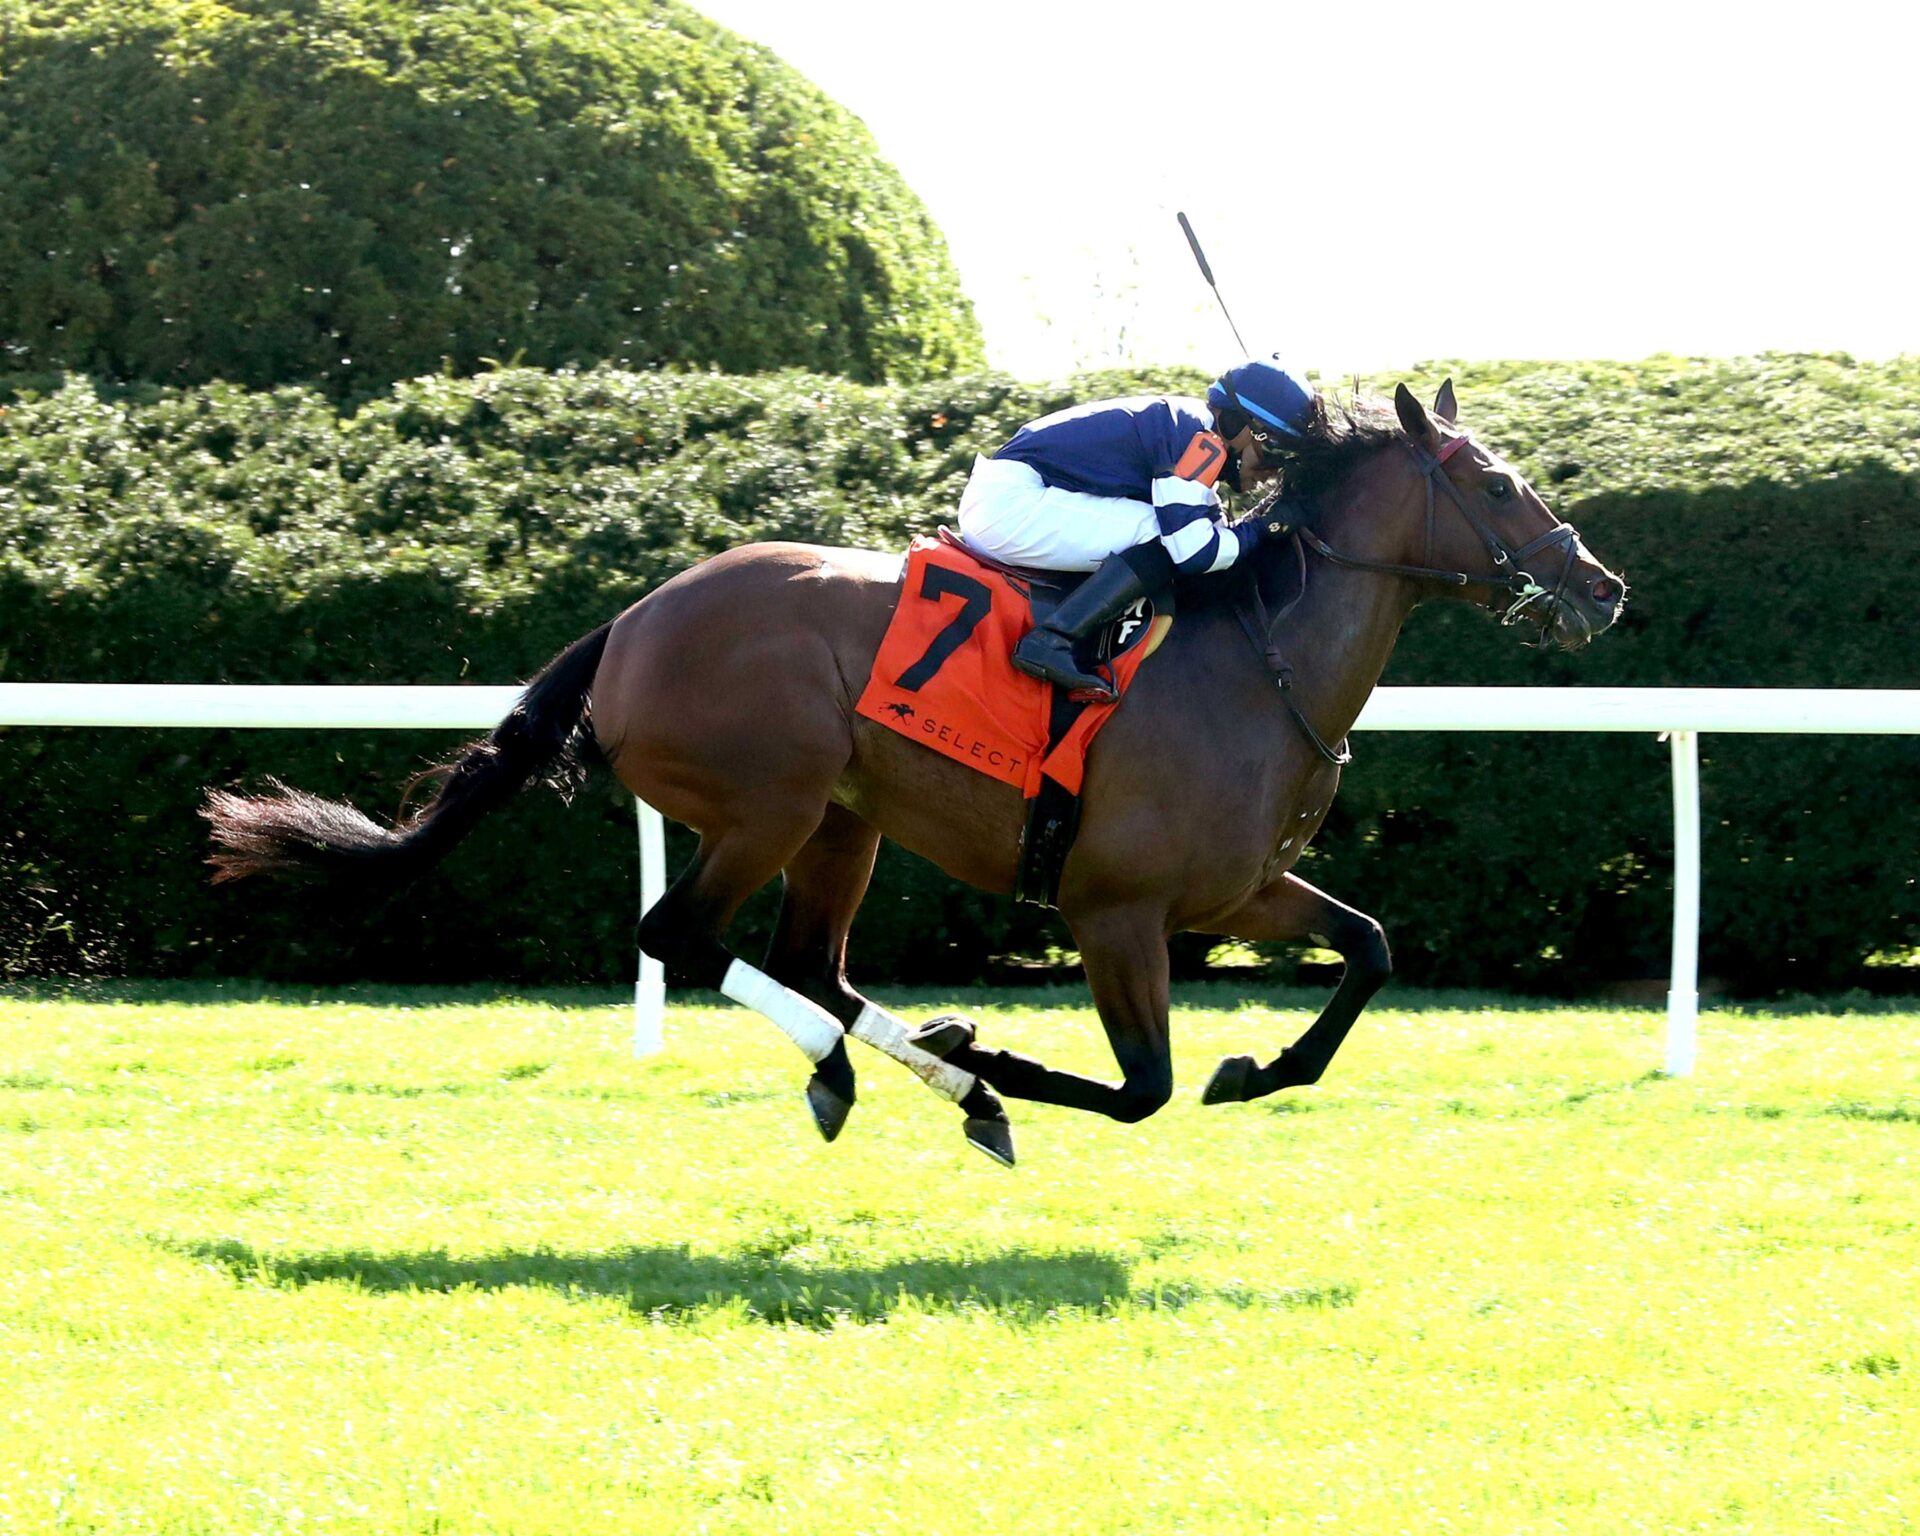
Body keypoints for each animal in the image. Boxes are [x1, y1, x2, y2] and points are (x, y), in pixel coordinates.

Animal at [205, 381, 1626, 1166]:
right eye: (1498, 483)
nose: (1602, 588)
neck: (1256, 656)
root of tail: (635, 620)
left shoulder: (1236, 893)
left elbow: (1371, 948)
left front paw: (1257, 1069)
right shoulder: (1115, 908)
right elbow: (1140, 1089)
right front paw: (999, 1058)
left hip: (846, 819)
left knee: (811, 965)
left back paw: (900, 1067)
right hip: (771, 802)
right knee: (686, 936)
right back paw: (898, 1072)